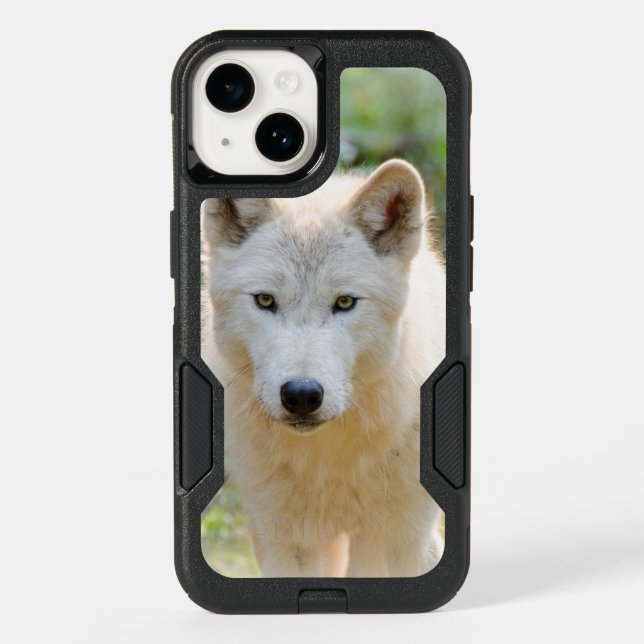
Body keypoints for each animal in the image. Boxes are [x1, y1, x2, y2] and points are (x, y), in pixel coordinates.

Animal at [201, 159, 446, 577]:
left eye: (345, 302)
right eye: (264, 300)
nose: (301, 395)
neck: (331, 460)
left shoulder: (409, 539)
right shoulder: (285, 542)